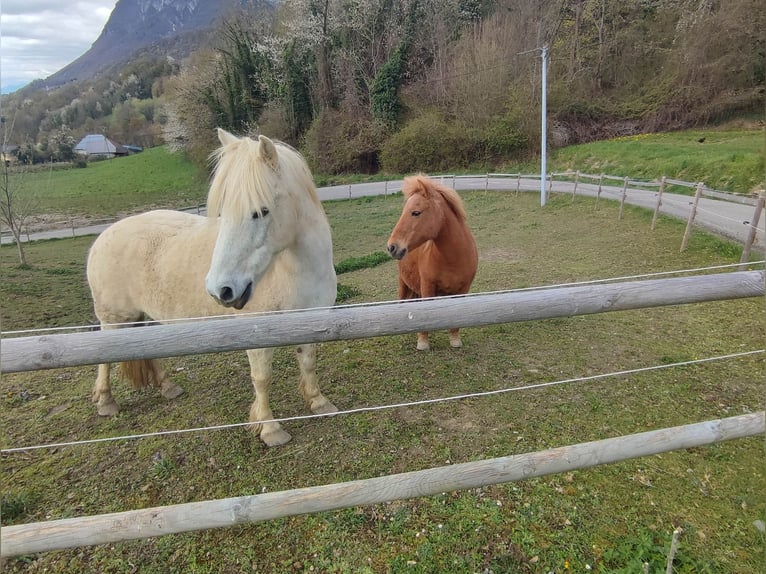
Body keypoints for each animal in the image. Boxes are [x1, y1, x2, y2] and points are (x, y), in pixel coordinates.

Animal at [86, 128, 338, 447]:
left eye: (261, 211)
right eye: (224, 213)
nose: (221, 290)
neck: (297, 270)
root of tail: (104, 235)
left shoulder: (311, 322)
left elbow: (308, 363)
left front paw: (319, 402)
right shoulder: (258, 335)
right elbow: (262, 379)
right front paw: (271, 429)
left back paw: (168, 387)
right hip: (114, 320)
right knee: (104, 358)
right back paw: (106, 402)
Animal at [386, 174, 478, 351]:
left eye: (416, 212)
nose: (392, 247)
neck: (452, 260)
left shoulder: (463, 289)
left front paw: (455, 339)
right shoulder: (427, 286)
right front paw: (423, 342)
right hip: (403, 283)